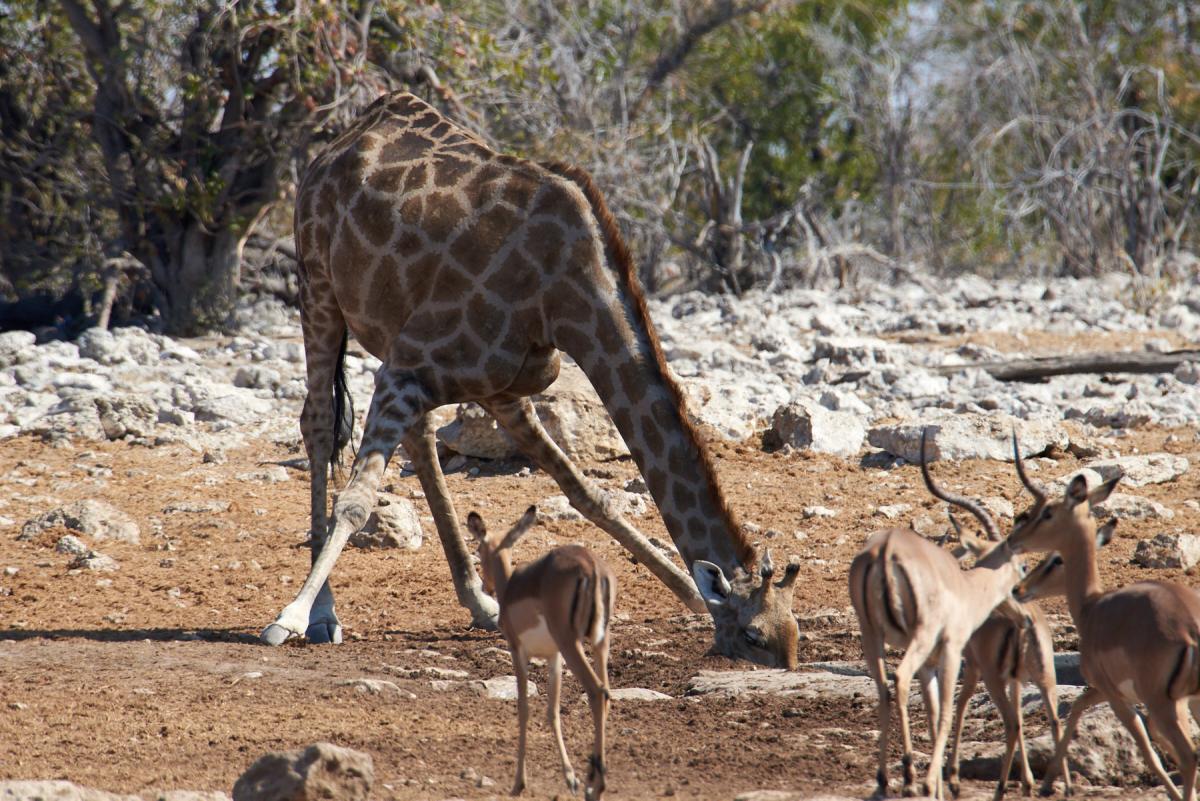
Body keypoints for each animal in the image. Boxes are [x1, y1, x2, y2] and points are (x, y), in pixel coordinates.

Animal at [261, 91, 800, 668]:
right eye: (754, 635)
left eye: (795, 630)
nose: (786, 666)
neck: (562, 295)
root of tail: (344, 136)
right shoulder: (409, 366)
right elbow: (357, 502)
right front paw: (290, 616)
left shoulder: (495, 388)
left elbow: (587, 491)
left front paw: (683, 587)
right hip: (317, 285)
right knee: (319, 423)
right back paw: (323, 613)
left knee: (420, 439)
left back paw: (479, 601)